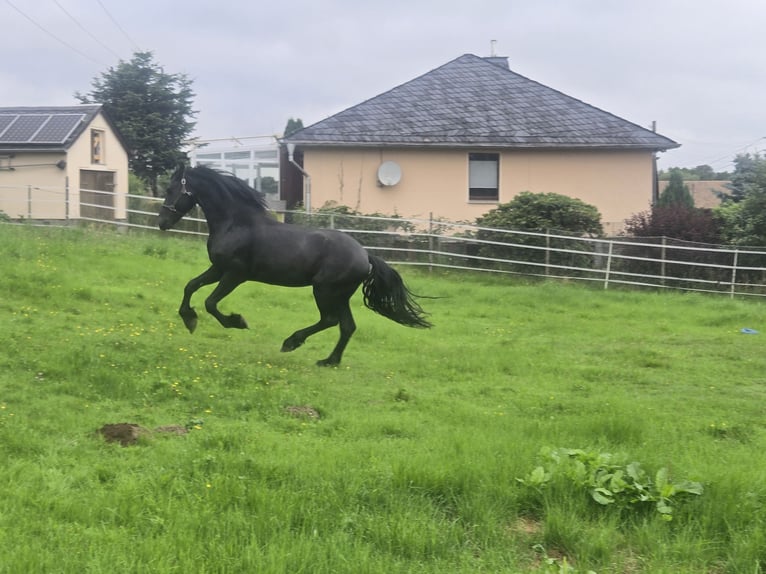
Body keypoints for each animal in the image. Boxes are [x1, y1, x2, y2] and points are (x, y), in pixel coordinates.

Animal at [157, 164, 431, 366]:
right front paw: (189, 319)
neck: (236, 223)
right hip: (340, 295)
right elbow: (191, 286)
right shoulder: (218, 269)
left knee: (330, 320)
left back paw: (291, 342)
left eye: (170, 189)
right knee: (347, 326)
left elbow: (210, 302)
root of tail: (365, 256)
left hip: (324, 290)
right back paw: (329, 361)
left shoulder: (235, 274)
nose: (162, 223)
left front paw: (237, 322)